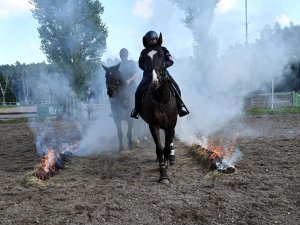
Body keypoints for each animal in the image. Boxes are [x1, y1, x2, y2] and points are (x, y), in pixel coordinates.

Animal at [140, 46, 178, 185]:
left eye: (162, 56)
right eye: (146, 58)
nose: (154, 81)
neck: (160, 98)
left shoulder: (170, 125)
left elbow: (166, 147)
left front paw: (167, 163)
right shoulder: (153, 125)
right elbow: (160, 148)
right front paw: (163, 175)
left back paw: (171, 157)